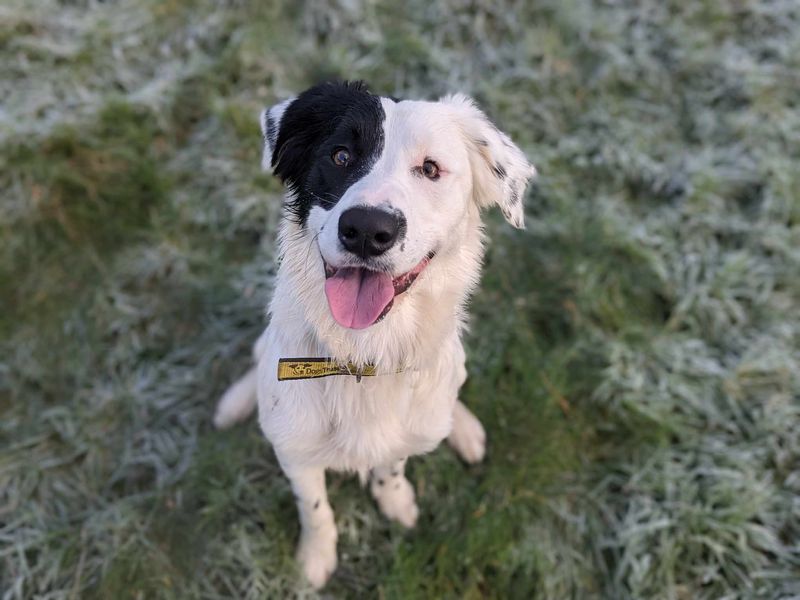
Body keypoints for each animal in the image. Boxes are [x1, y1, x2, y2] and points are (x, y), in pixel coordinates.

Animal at [216, 82, 536, 588]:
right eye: (341, 155)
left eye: (430, 169)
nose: (367, 229)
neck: (365, 353)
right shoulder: (296, 453)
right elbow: (314, 509)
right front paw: (315, 557)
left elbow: (392, 465)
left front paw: (395, 499)